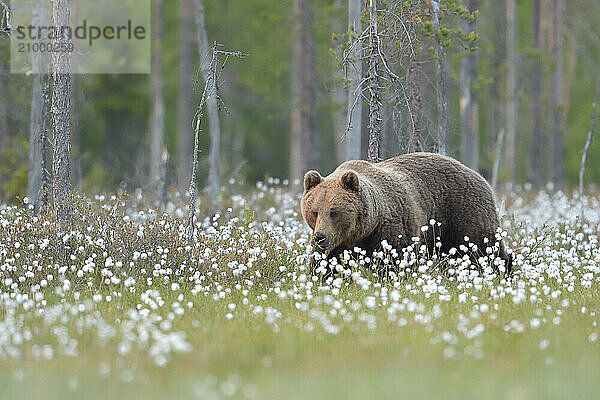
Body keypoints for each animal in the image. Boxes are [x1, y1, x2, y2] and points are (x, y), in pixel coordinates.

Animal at [302, 152, 512, 274]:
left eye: (334, 212)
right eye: (314, 212)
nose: (320, 237)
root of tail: (477, 174)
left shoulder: (389, 230)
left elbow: (393, 260)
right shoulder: (338, 243)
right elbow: (324, 264)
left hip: (464, 211)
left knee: (483, 247)